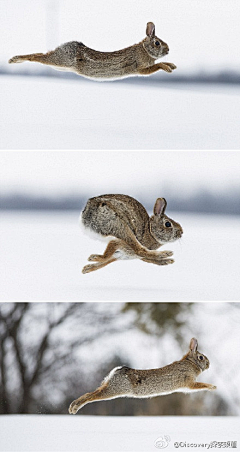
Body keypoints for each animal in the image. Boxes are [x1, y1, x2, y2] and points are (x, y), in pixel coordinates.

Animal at [7, 21, 176, 80]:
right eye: (157, 43)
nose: (168, 50)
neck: (144, 49)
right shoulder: (140, 68)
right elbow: (157, 66)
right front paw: (167, 68)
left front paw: (172, 66)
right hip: (61, 60)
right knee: (38, 56)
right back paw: (14, 60)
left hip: (60, 63)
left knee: (42, 55)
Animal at [68, 338, 217, 414]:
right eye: (201, 357)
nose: (209, 364)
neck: (191, 363)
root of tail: (117, 371)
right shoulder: (189, 382)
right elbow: (200, 385)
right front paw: (213, 387)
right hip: (114, 390)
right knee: (91, 395)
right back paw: (74, 408)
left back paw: (72, 407)